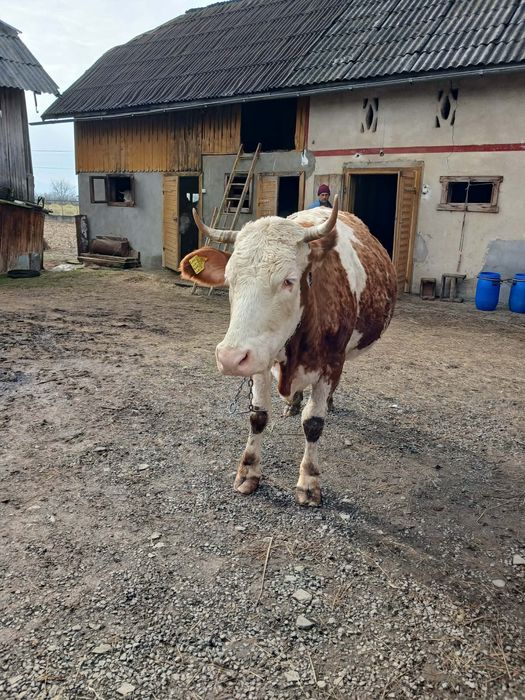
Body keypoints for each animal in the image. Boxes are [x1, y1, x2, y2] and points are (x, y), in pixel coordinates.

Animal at [180, 196, 397, 506]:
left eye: (289, 280)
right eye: (230, 280)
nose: (229, 358)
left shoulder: (331, 364)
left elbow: (314, 422)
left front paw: (309, 481)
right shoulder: (259, 356)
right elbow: (258, 416)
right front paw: (248, 471)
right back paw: (293, 402)